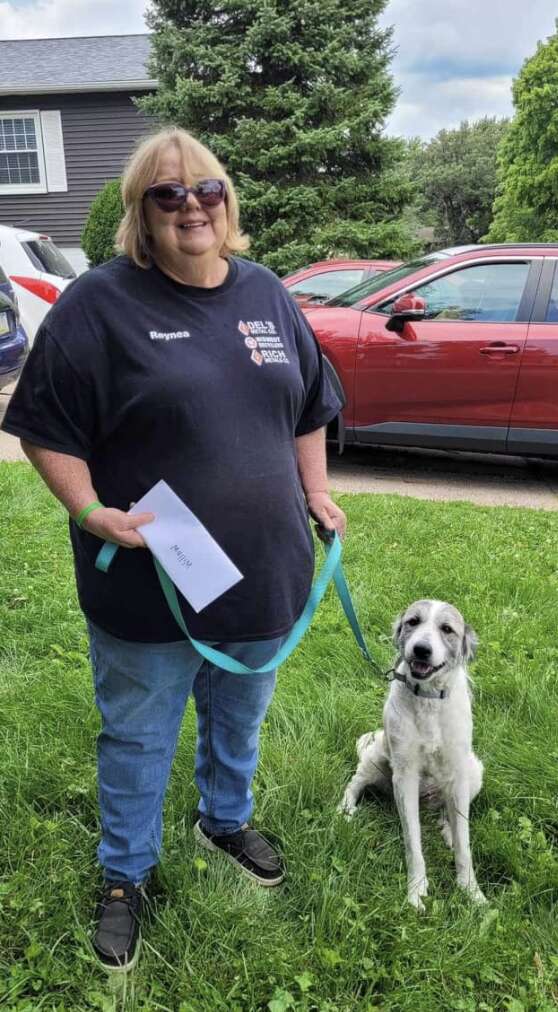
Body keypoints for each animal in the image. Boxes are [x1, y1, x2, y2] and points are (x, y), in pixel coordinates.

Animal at [338, 595, 486, 914]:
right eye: (413, 622)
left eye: (447, 629)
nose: (421, 649)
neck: (428, 698)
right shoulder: (404, 776)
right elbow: (413, 843)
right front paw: (416, 890)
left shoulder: (458, 772)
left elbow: (465, 845)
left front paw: (471, 891)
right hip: (376, 757)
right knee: (354, 783)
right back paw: (345, 809)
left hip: (474, 769)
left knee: (450, 813)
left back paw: (447, 829)